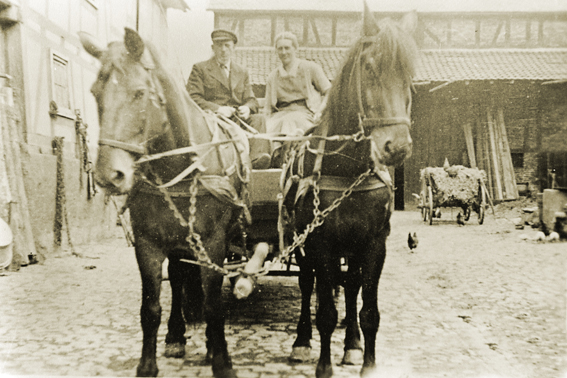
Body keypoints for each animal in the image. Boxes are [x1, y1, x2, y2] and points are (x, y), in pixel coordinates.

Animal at [80, 28, 251, 378]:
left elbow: (214, 305)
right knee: (178, 275)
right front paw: (147, 364)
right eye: (95, 92)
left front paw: (221, 359)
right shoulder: (148, 243)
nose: (108, 175)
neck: (182, 167)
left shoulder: (212, 242)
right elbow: (151, 307)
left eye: (139, 93)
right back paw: (175, 335)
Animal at [282, 5, 420, 378]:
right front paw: (323, 365)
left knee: (351, 286)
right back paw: (302, 340)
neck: (347, 168)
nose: (397, 147)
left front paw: (366, 359)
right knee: (308, 283)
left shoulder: (374, 243)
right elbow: (325, 312)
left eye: (409, 76)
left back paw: (353, 344)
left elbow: (367, 307)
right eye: (370, 68)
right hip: (302, 242)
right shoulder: (320, 242)